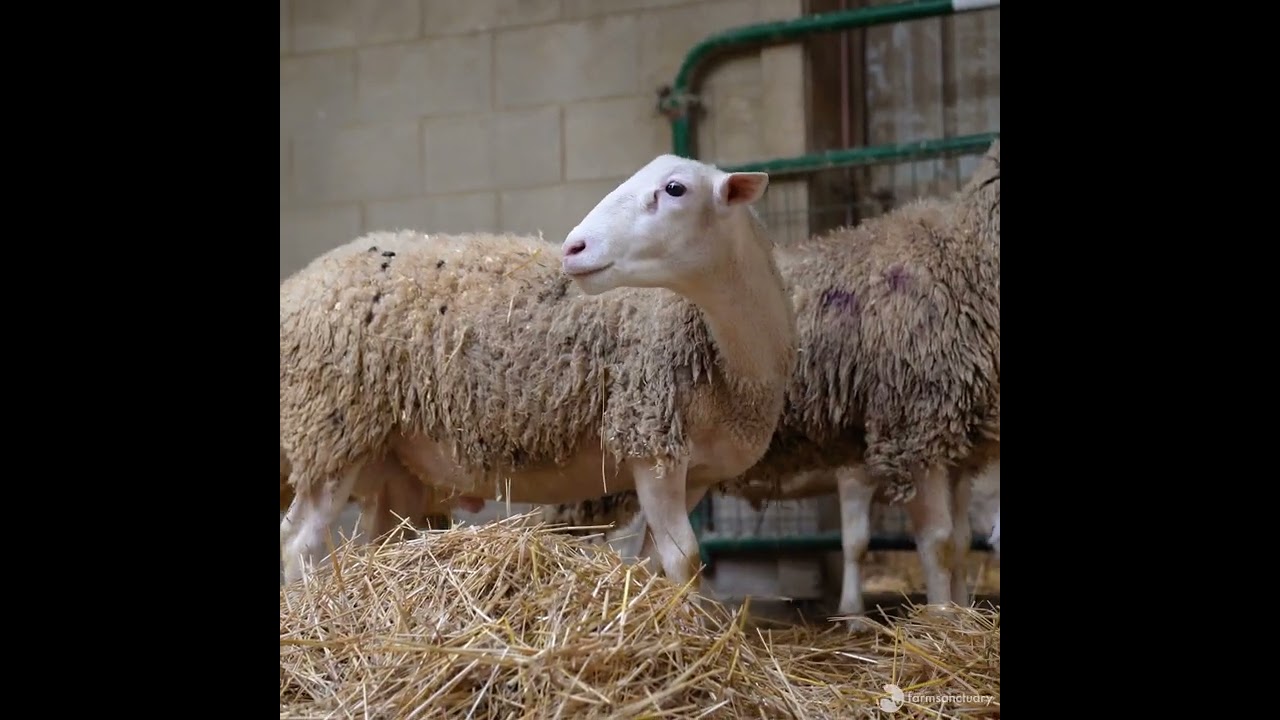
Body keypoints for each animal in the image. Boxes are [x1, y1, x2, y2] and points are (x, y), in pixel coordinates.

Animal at [279, 154, 800, 593]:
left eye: (675, 189)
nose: (574, 247)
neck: (736, 357)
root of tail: (302, 279)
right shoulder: (650, 443)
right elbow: (684, 558)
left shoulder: (697, 474)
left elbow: (661, 562)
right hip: (332, 429)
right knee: (298, 543)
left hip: (391, 463)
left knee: (379, 540)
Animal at [542, 139, 1001, 623]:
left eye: (674, 189)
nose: (574, 247)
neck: (967, 254)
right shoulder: (908, 430)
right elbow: (928, 543)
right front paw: (934, 620)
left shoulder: (955, 444)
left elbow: (957, 544)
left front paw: (962, 613)